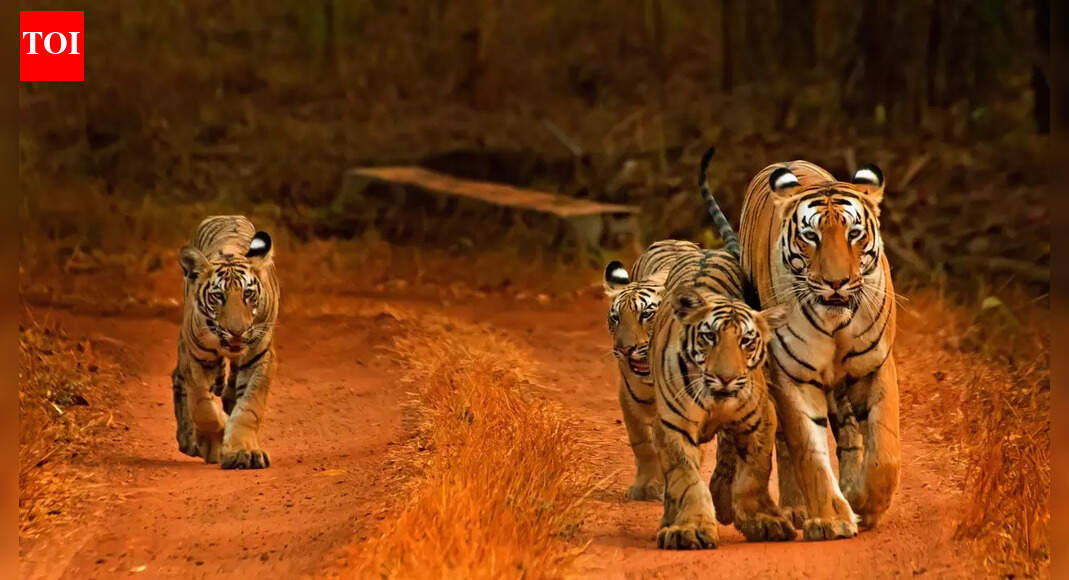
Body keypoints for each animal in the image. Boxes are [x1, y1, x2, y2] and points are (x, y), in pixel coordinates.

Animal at [171, 216, 279, 470]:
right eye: (218, 296)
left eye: (248, 294)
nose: (237, 332)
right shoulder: (197, 358)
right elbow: (202, 404)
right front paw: (214, 442)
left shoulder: (260, 357)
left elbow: (249, 406)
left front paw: (243, 451)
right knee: (179, 379)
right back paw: (188, 441)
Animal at [604, 239, 701, 501]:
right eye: (615, 318)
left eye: (646, 314)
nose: (625, 349)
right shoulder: (629, 396)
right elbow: (643, 443)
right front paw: (644, 486)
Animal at [648, 146, 795, 550]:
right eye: (709, 337)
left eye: (746, 340)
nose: (726, 379)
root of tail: (710, 251)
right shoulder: (673, 427)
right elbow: (685, 480)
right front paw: (690, 528)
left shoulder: (761, 417)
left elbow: (755, 472)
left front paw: (762, 520)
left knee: (729, 454)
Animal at [738, 160, 898, 540]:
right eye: (811, 236)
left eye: (854, 234)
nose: (836, 282)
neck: (836, 323)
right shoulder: (793, 375)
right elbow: (808, 450)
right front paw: (830, 520)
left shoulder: (876, 366)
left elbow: (885, 452)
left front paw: (866, 505)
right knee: (784, 441)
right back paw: (796, 508)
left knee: (851, 435)